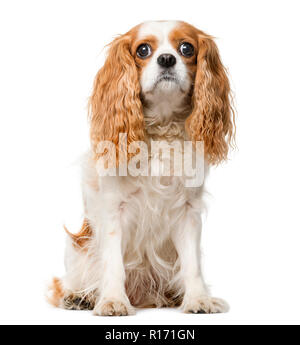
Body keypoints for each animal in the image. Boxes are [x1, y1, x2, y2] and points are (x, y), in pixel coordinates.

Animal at [47, 20, 234, 316]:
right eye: (143, 50)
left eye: (187, 48)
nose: (167, 59)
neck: (162, 131)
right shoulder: (114, 210)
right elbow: (113, 263)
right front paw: (112, 300)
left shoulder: (188, 212)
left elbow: (192, 264)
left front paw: (198, 299)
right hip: (78, 248)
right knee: (68, 282)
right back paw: (80, 297)